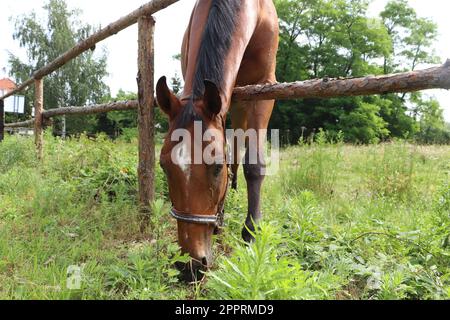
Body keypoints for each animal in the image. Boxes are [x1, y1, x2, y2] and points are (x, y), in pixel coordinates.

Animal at [156, 0, 280, 282]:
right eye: (163, 166)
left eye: (216, 167)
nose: (189, 266)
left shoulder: (264, 88)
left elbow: (254, 164)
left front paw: (251, 233)